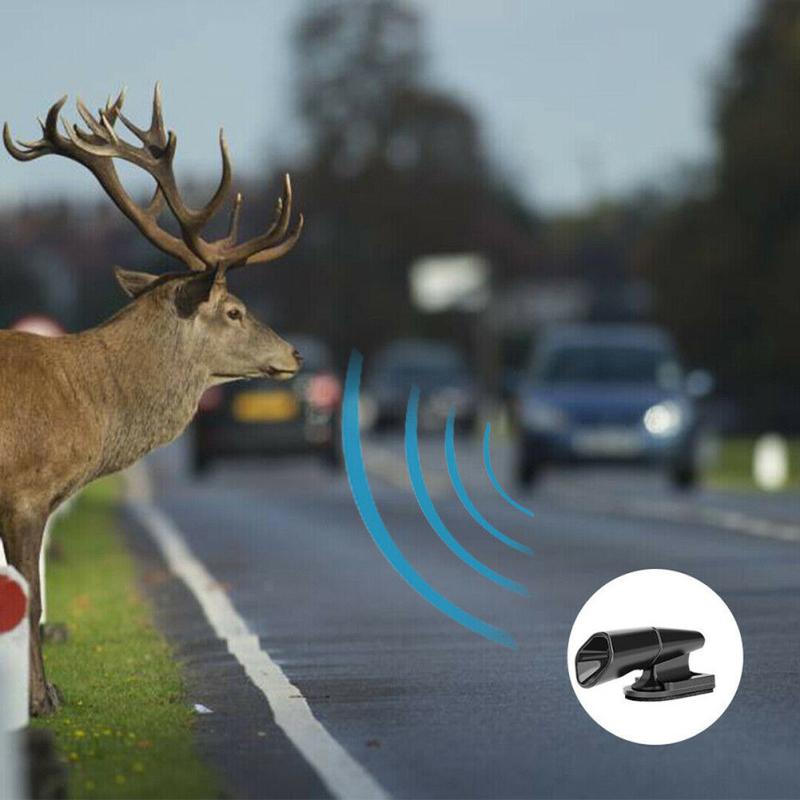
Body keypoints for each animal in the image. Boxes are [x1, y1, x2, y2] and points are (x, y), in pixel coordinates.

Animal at [0, 85, 304, 715]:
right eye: (234, 309)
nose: (294, 353)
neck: (84, 405)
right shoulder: (22, 489)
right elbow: (31, 598)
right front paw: (41, 701)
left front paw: (44, 693)